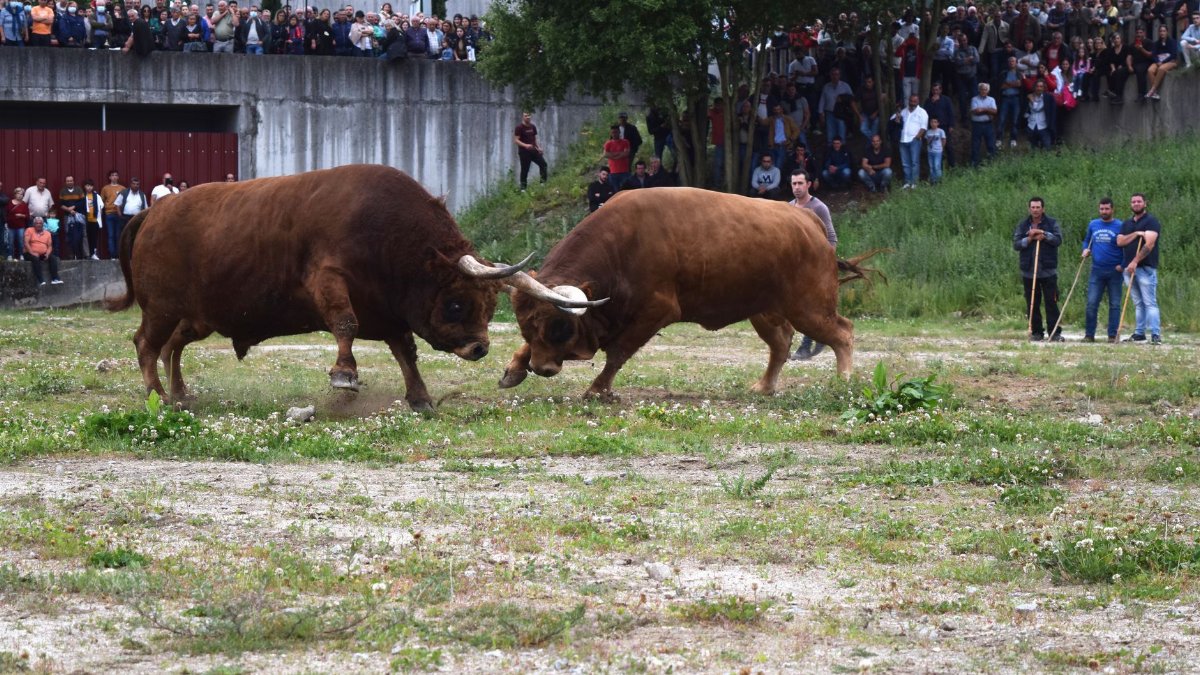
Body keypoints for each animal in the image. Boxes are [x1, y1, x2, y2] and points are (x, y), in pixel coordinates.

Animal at [105, 164, 592, 411]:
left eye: (491, 306)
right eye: (456, 304)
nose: (479, 349)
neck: (388, 232)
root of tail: (155, 211)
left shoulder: (390, 312)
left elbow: (405, 351)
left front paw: (421, 398)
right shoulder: (330, 279)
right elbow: (345, 323)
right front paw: (345, 374)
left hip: (196, 317)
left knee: (173, 346)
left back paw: (181, 394)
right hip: (162, 307)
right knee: (146, 343)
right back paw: (157, 395)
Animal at [497, 187, 877, 400]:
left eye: (556, 326)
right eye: (526, 325)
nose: (542, 369)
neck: (623, 244)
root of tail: (810, 224)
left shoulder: (656, 311)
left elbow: (618, 353)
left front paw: (596, 390)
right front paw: (514, 369)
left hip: (809, 308)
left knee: (842, 332)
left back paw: (844, 380)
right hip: (764, 310)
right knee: (781, 343)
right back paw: (764, 387)